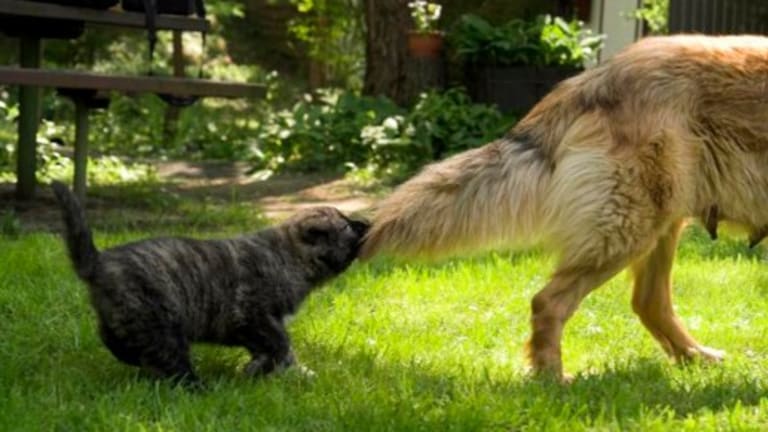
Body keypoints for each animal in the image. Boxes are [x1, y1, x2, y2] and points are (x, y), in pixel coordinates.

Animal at [51, 181, 368, 386]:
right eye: (346, 226)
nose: (366, 223)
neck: (288, 256)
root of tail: (98, 262)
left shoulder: (264, 323)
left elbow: (284, 351)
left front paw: (296, 373)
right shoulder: (254, 316)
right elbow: (280, 345)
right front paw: (256, 370)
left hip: (123, 318)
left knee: (116, 342)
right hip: (163, 326)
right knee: (173, 364)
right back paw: (199, 388)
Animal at [358, 35, 768, 380]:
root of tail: (593, 80)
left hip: (657, 222)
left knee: (648, 302)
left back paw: (694, 357)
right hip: (628, 228)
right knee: (549, 302)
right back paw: (552, 378)